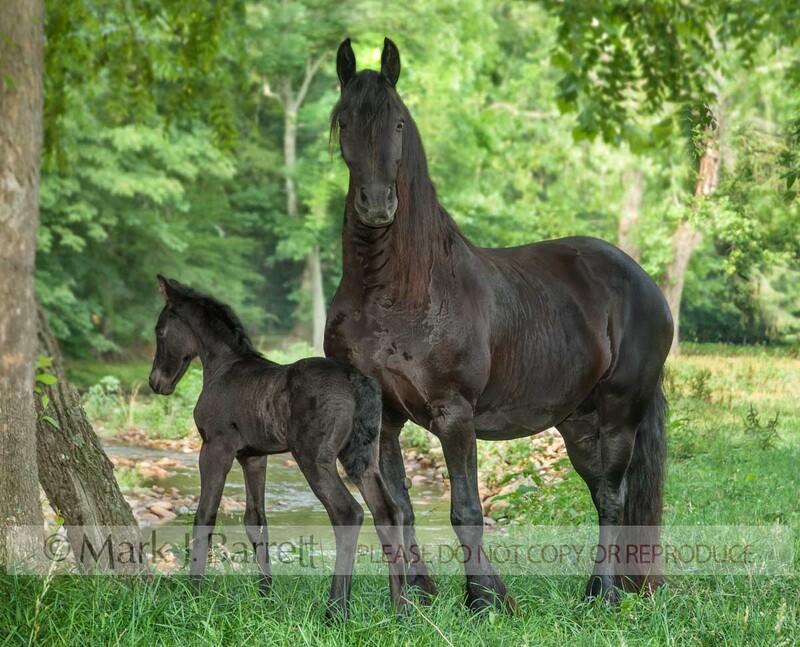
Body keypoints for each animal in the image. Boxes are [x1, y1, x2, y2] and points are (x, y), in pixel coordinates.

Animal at [148, 275, 407, 619]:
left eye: (160, 331)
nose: (155, 383)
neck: (223, 367)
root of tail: (356, 378)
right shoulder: (253, 457)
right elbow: (255, 521)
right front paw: (265, 595)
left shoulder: (215, 447)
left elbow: (205, 515)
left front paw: (193, 592)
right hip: (361, 457)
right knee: (388, 513)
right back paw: (400, 608)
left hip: (314, 458)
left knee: (348, 514)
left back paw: (335, 610)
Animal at [324, 38, 673, 612]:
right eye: (344, 120)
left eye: (397, 121)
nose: (377, 205)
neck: (394, 291)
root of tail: (642, 281)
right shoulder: (386, 419)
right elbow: (398, 508)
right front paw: (419, 596)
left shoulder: (454, 414)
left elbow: (466, 510)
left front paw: (484, 599)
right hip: (579, 423)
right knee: (603, 492)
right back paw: (608, 588)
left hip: (620, 412)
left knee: (612, 497)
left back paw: (602, 594)